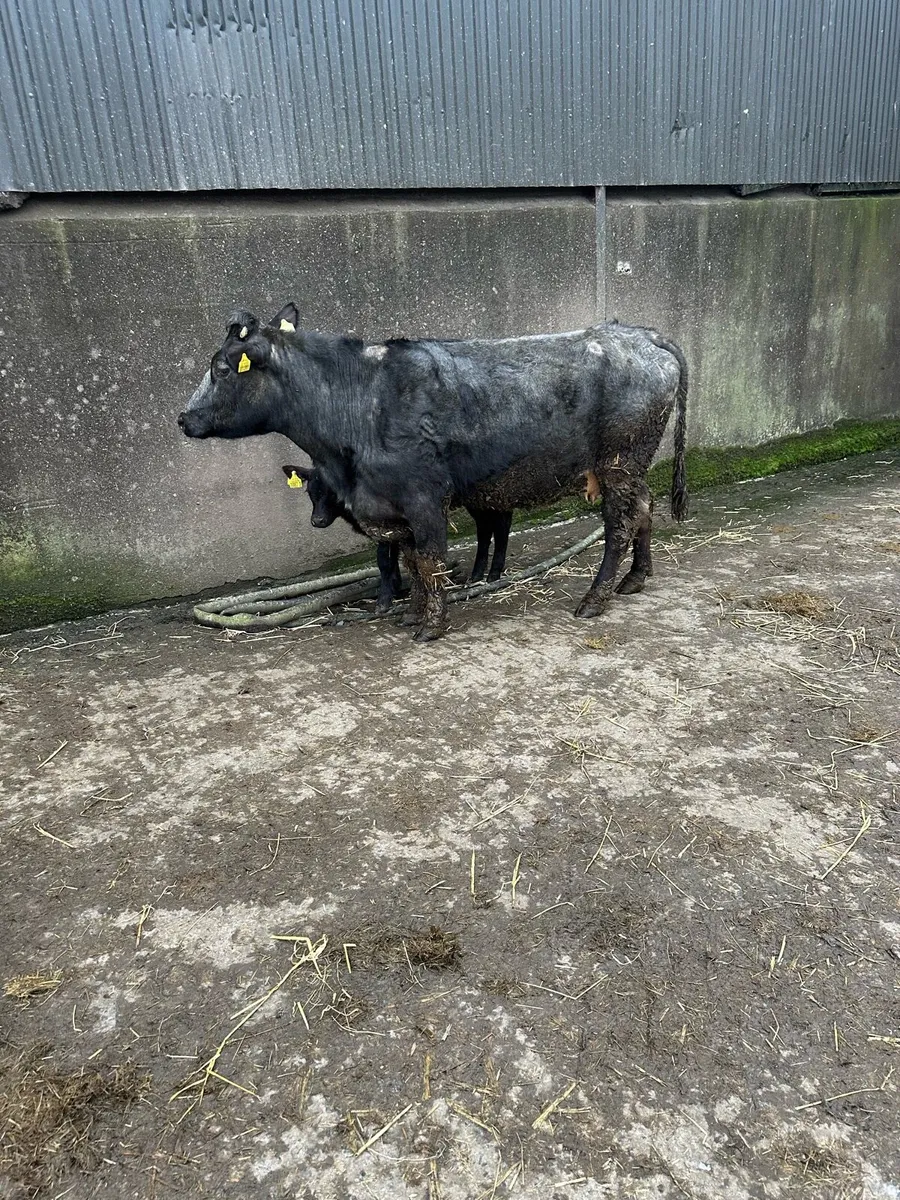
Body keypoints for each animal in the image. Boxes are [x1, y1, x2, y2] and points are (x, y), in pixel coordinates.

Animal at [281, 462, 514, 613]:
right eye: (310, 491)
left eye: (332, 492)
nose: (317, 521)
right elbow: (392, 558)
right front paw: (396, 587)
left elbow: (383, 560)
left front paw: (384, 601)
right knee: (486, 528)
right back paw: (477, 574)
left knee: (501, 524)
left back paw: (493, 573)